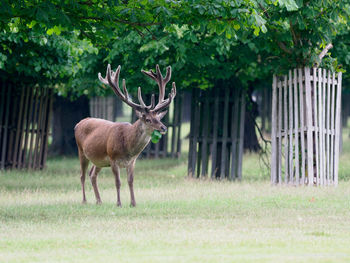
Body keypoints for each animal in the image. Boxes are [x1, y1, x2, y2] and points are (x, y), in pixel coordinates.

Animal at [75, 64, 176, 208]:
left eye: (158, 118)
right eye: (148, 119)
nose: (164, 128)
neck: (127, 147)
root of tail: (78, 124)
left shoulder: (132, 161)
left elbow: (130, 181)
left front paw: (133, 203)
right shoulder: (112, 158)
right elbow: (118, 182)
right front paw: (119, 203)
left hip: (99, 159)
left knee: (92, 174)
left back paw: (99, 200)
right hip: (81, 151)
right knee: (82, 175)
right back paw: (84, 200)